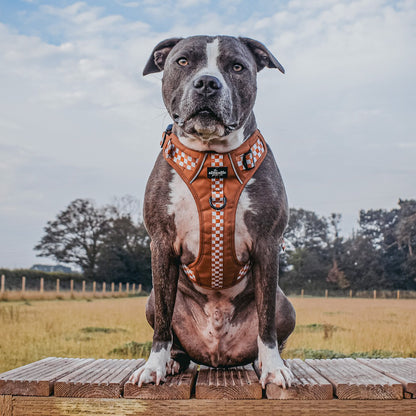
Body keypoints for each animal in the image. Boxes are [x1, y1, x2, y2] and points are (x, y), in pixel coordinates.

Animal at [130, 35, 296, 390]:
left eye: (237, 66)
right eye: (182, 62)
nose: (207, 83)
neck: (212, 160)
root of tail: (217, 356)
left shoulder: (267, 243)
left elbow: (266, 321)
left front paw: (274, 367)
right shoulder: (161, 243)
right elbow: (162, 323)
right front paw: (153, 367)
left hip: (287, 306)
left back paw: (262, 361)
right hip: (151, 300)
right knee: (170, 330)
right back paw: (173, 362)